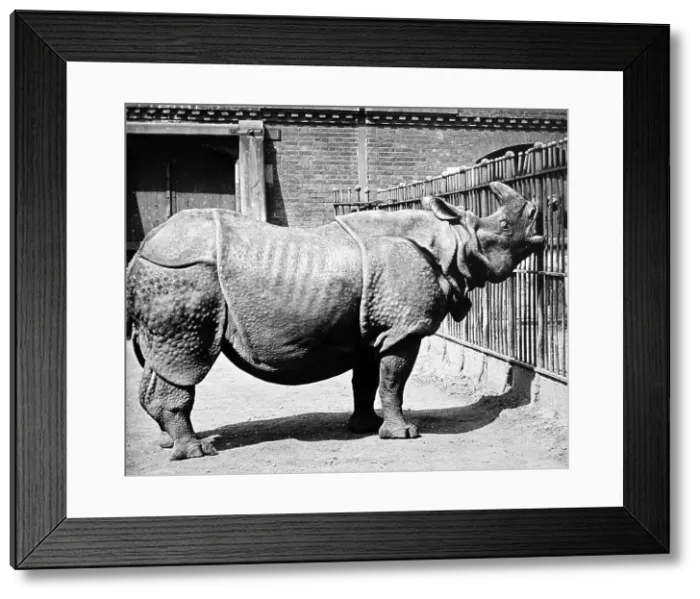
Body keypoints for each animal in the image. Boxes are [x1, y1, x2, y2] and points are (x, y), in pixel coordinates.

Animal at [125, 181, 544, 460]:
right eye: (505, 227)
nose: (539, 214)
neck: (454, 240)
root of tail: (140, 252)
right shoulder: (403, 329)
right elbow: (394, 381)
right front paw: (403, 434)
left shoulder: (373, 329)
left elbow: (368, 380)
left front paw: (366, 427)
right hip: (186, 275)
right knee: (186, 360)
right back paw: (196, 451)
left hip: (167, 277)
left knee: (158, 360)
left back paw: (169, 442)